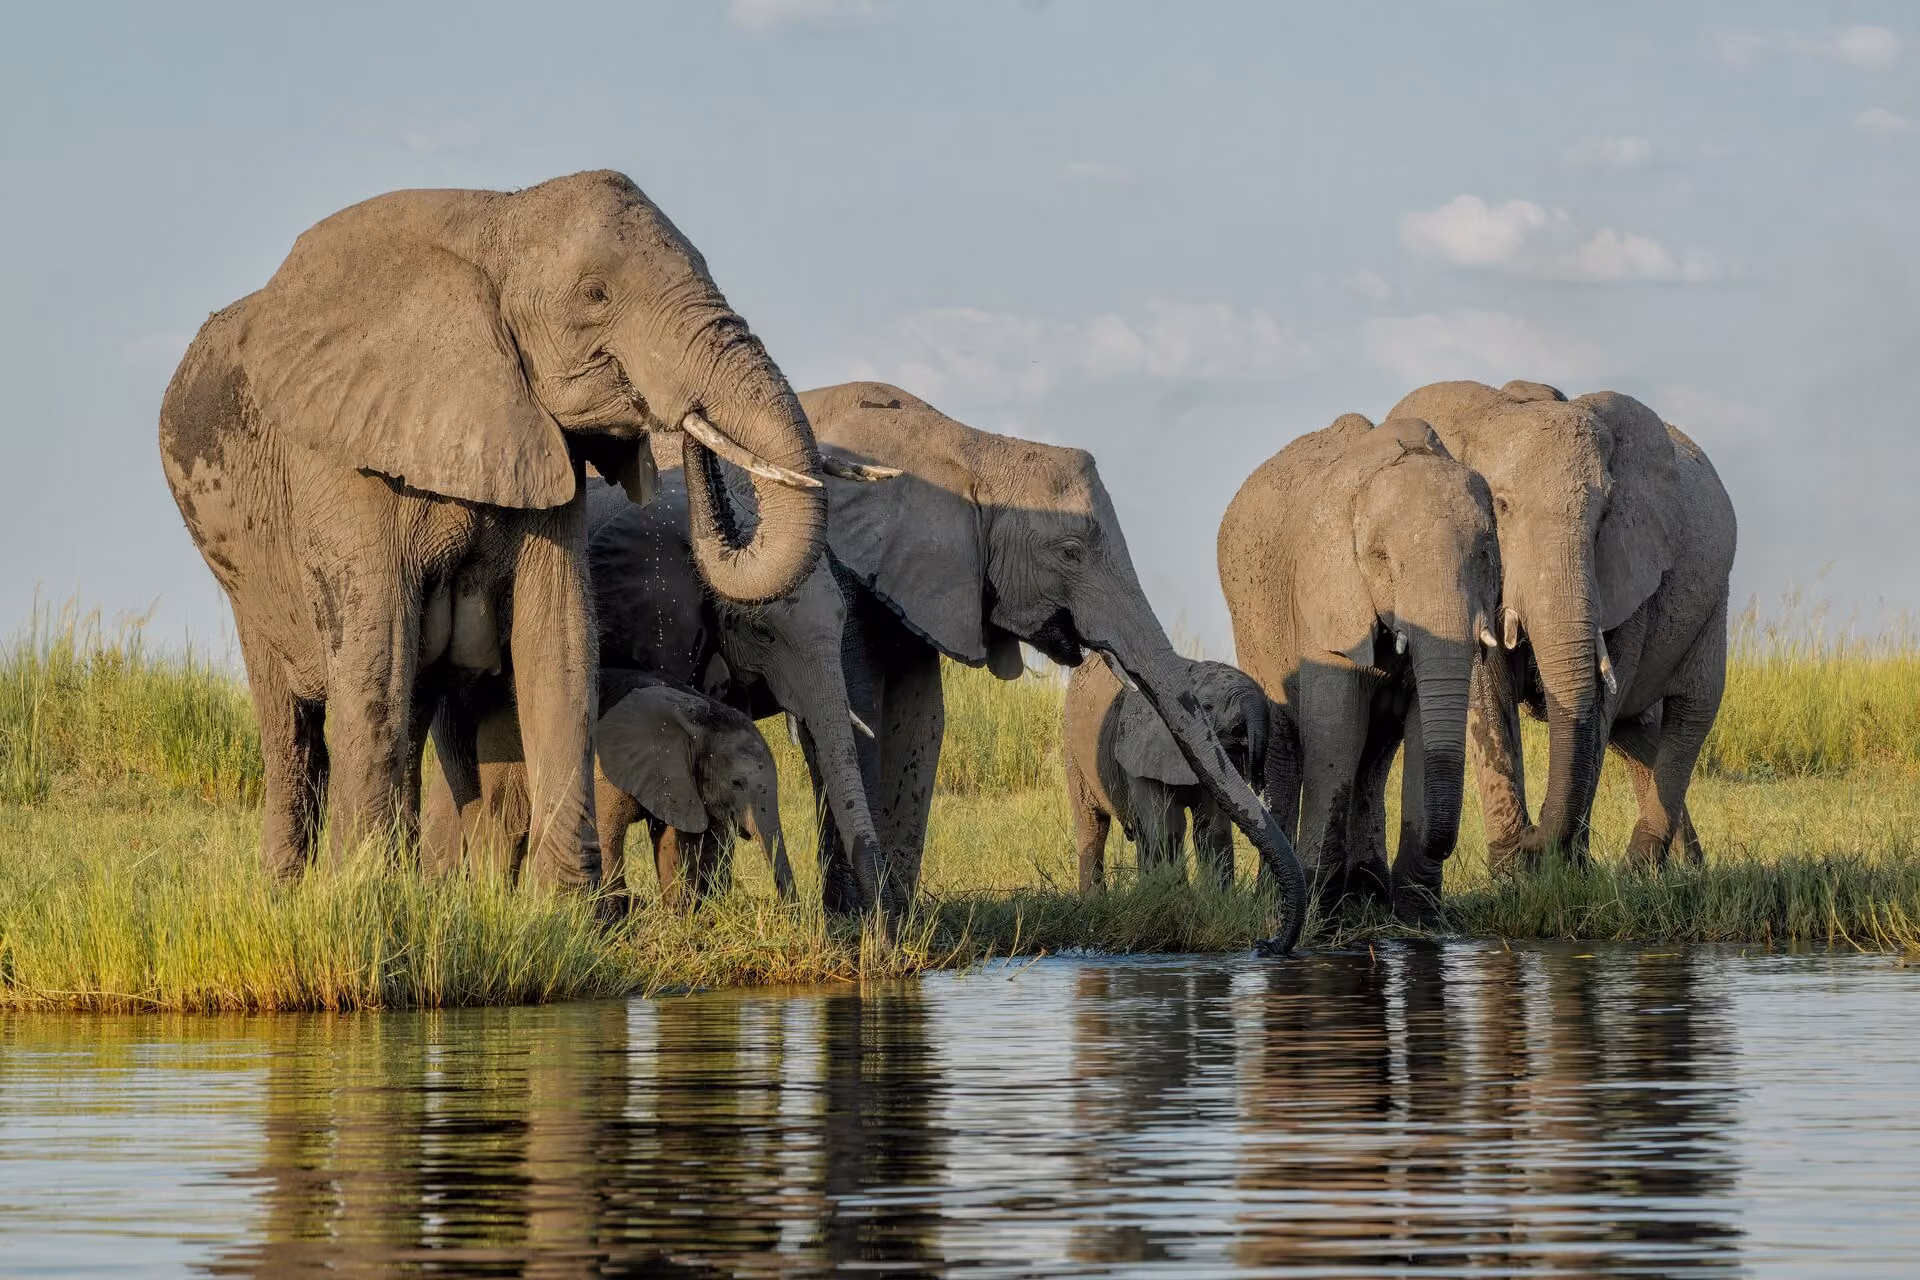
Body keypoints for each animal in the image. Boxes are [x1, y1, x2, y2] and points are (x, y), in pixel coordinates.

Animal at [160, 170, 827, 886]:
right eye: (595, 295)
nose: (679, 415)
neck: (497, 220)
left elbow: (558, 643)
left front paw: (566, 903)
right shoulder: (344, 458)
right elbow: (375, 653)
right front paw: (360, 893)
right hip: (244, 575)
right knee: (293, 726)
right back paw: (290, 891)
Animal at [593, 670, 795, 911]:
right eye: (736, 783)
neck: (700, 720)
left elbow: (673, 839)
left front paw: (677, 912)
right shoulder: (610, 770)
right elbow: (607, 831)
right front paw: (616, 910)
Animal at [1062, 655, 1271, 891]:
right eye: (1207, 707)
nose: (1259, 785)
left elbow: (1213, 828)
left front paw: (1217, 896)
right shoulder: (1141, 752)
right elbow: (1168, 827)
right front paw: (1178, 895)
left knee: (1141, 834)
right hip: (1073, 753)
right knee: (1092, 826)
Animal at [1218, 414, 1502, 914]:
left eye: (1486, 553)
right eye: (1383, 559)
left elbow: (1421, 726)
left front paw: (1418, 916)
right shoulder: (1325, 592)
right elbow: (1336, 729)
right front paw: (1319, 912)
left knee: (1375, 754)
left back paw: (1366, 893)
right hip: (1250, 624)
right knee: (1287, 743)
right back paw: (1283, 896)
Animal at [1386, 380, 1736, 868]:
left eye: (1605, 516)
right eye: (1501, 506)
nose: (1533, 836)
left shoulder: (1630, 569)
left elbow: (1601, 698)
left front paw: (1564, 866)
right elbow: (1487, 693)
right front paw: (1513, 869)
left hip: (1714, 606)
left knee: (1690, 715)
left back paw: (1642, 869)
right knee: (1637, 733)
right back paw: (1677, 868)